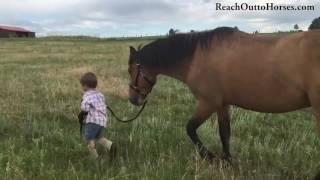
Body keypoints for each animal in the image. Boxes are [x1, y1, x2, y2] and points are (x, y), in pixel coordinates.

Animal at [126, 26, 318, 163]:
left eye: (130, 70)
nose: (133, 99)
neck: (196, 57)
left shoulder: (208, 103)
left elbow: (190, 128)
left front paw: (209, 156)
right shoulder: (223, 104)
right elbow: (224, 133)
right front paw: (228, 161)